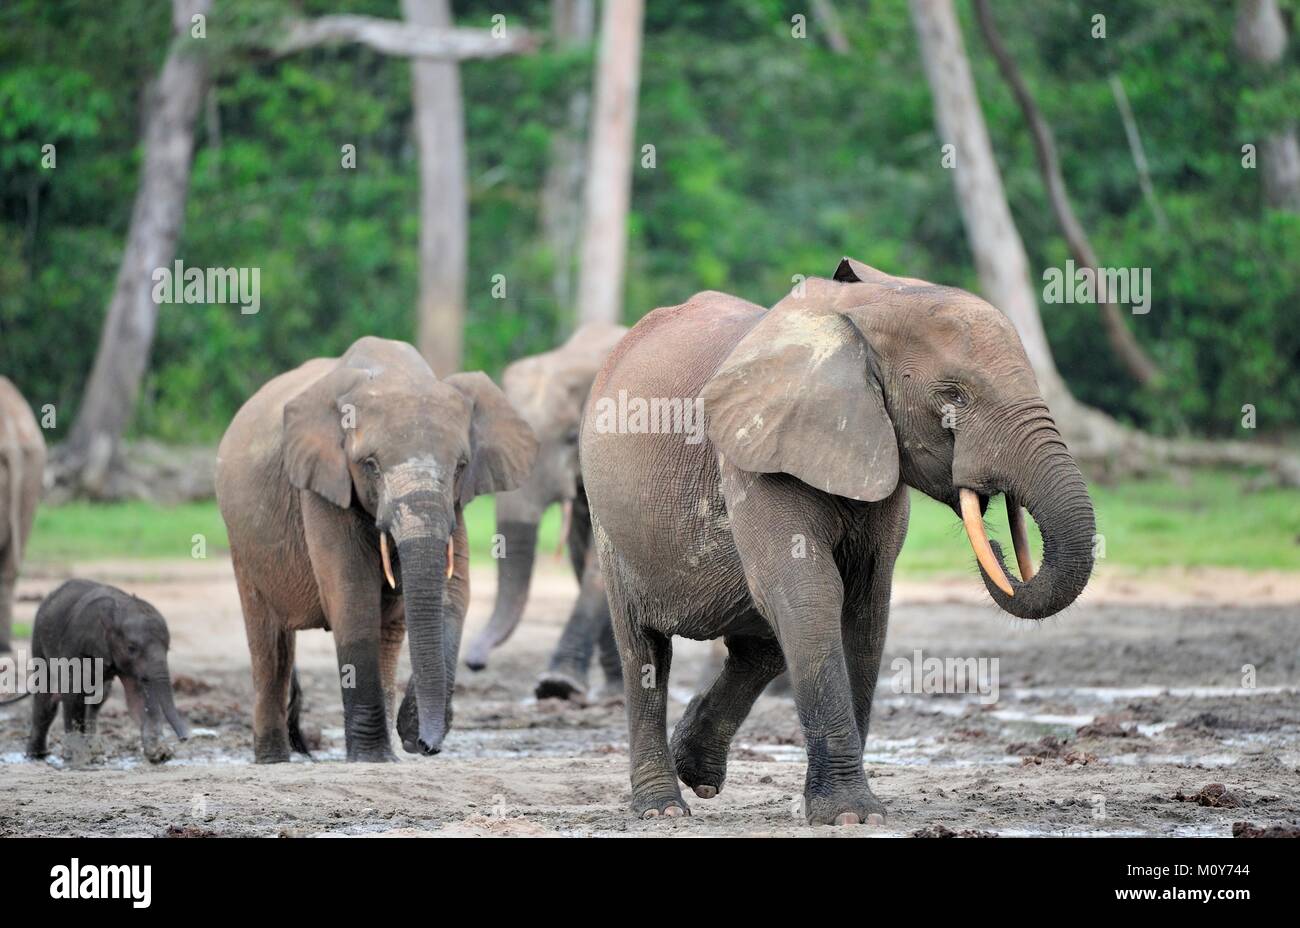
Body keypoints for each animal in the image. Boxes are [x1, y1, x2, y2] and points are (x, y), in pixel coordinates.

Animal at [27, 579, 190, 763]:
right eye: (131, 648)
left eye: (168, 649)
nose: (184, 739)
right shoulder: (77, 644)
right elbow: (73, 694)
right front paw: (78, 757)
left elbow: (137, 697)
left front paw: (159, 754)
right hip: (38, 639)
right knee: (46, 699)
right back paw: (37, 755)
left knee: (98, 698)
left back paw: (93, 751)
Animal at [216, 337, 536, 762]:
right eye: (370, 465)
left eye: (460, 467)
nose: (425, 745)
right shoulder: (322, 485)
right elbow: (352, 595)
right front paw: (371, 757)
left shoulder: (455, 504)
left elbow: (454, 594)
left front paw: (407, 732)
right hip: (241, 540)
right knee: (269, 645)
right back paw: (275, 760)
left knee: (387, 634)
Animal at [580, 258, 1096, 824]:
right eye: (953, 397)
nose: (998, 546)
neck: (868, 310)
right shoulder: (755, 456)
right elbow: (810, 595)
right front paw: (852, 815)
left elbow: (864, 608)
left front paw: (852, 811)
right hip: (608, 520)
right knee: (644, 650)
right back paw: (662, 809)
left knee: (762, 643)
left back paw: (698, 772)